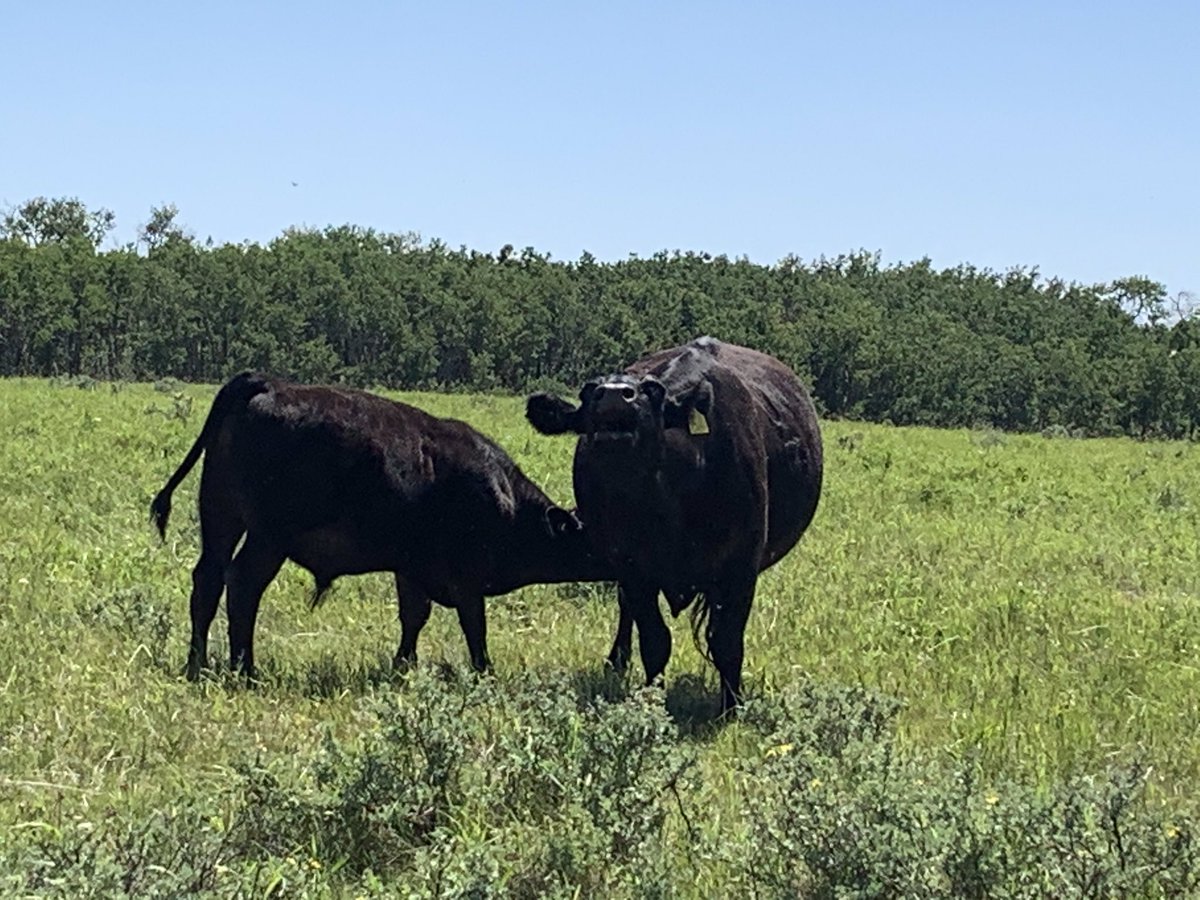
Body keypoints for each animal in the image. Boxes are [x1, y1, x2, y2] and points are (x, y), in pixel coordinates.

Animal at [151, 372, 614, 681]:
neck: (504, 497)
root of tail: (265, 383)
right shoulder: (465, 577)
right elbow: (474, 625)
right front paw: (484, 671)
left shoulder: (411, 569)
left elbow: (413, 617)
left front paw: (404, 666)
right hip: (268, 537)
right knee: (243, 585)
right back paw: (245, 669)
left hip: (221, 517)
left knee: (208, 580)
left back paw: (198, 664)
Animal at [525, 337, 823, 713]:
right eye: (589, 390)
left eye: (651, 392)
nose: (614, 394)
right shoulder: (632, 567)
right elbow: (655, 640)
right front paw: (652, 698)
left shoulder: (741, 566)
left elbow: (726, 641)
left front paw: (731, 707)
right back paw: (616, 659)